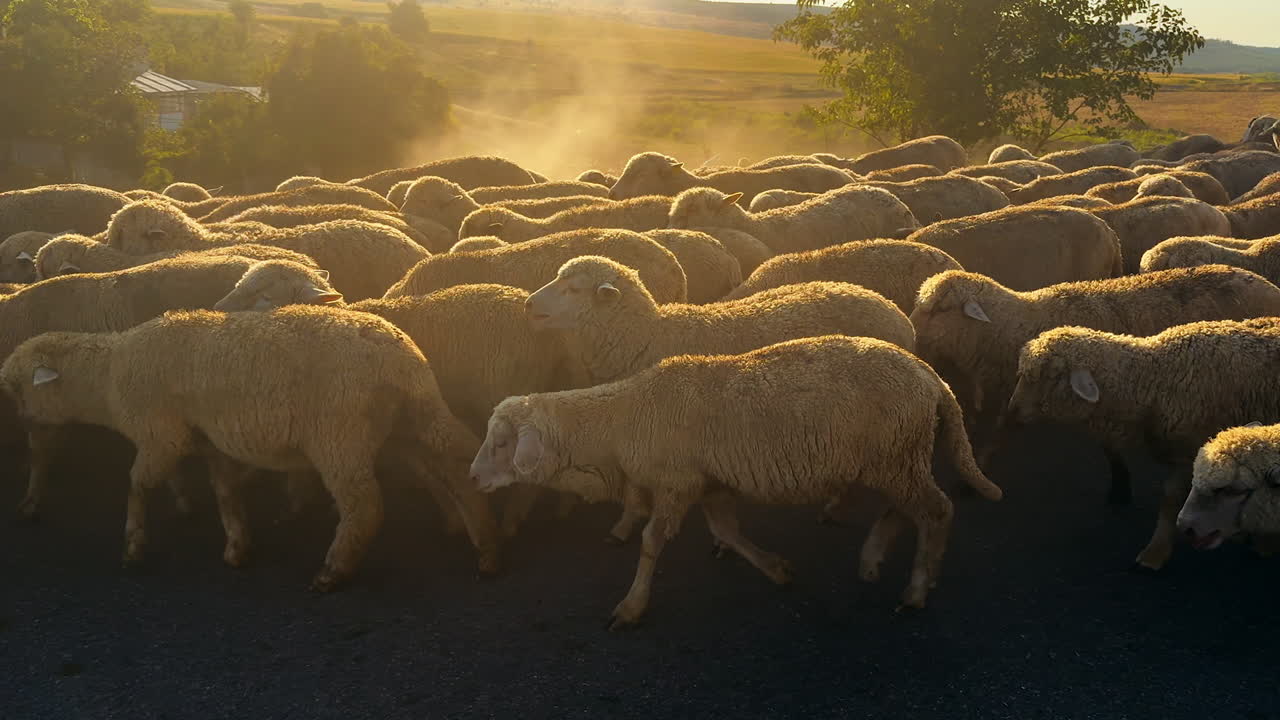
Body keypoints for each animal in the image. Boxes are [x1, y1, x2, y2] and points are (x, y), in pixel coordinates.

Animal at [0, 305, 500, 587]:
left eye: (19, 387)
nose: (21, 423)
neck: (107, 377)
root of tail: (399, 356)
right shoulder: (212, 439)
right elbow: (225, 492)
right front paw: (238, 547)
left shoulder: (162, 434)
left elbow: (137, 486)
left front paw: (133, 547)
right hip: (411, 418)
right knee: (457, 458)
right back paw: (484, 545)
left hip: (339, 434)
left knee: (365, 505)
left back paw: (334, 571)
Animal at [470, 334, 1003, 626]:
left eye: (500, 443)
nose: (472, 477)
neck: (622, 422)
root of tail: (932, 378)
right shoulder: (708, 483)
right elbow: (727, 531)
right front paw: (777, 570)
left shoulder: (677, 483)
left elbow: (651, 541)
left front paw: (631, 606)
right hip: (894, 455)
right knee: (906, 509)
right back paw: (873, 558)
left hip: (896, 453)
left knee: (937, 511)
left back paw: (917, 589)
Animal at [1006, 319, 1280, 570]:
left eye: (1049, 375)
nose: (1012, 411)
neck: (1155, 380)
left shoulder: (1188, 453)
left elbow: (1170, 501)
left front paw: (1154, 553)